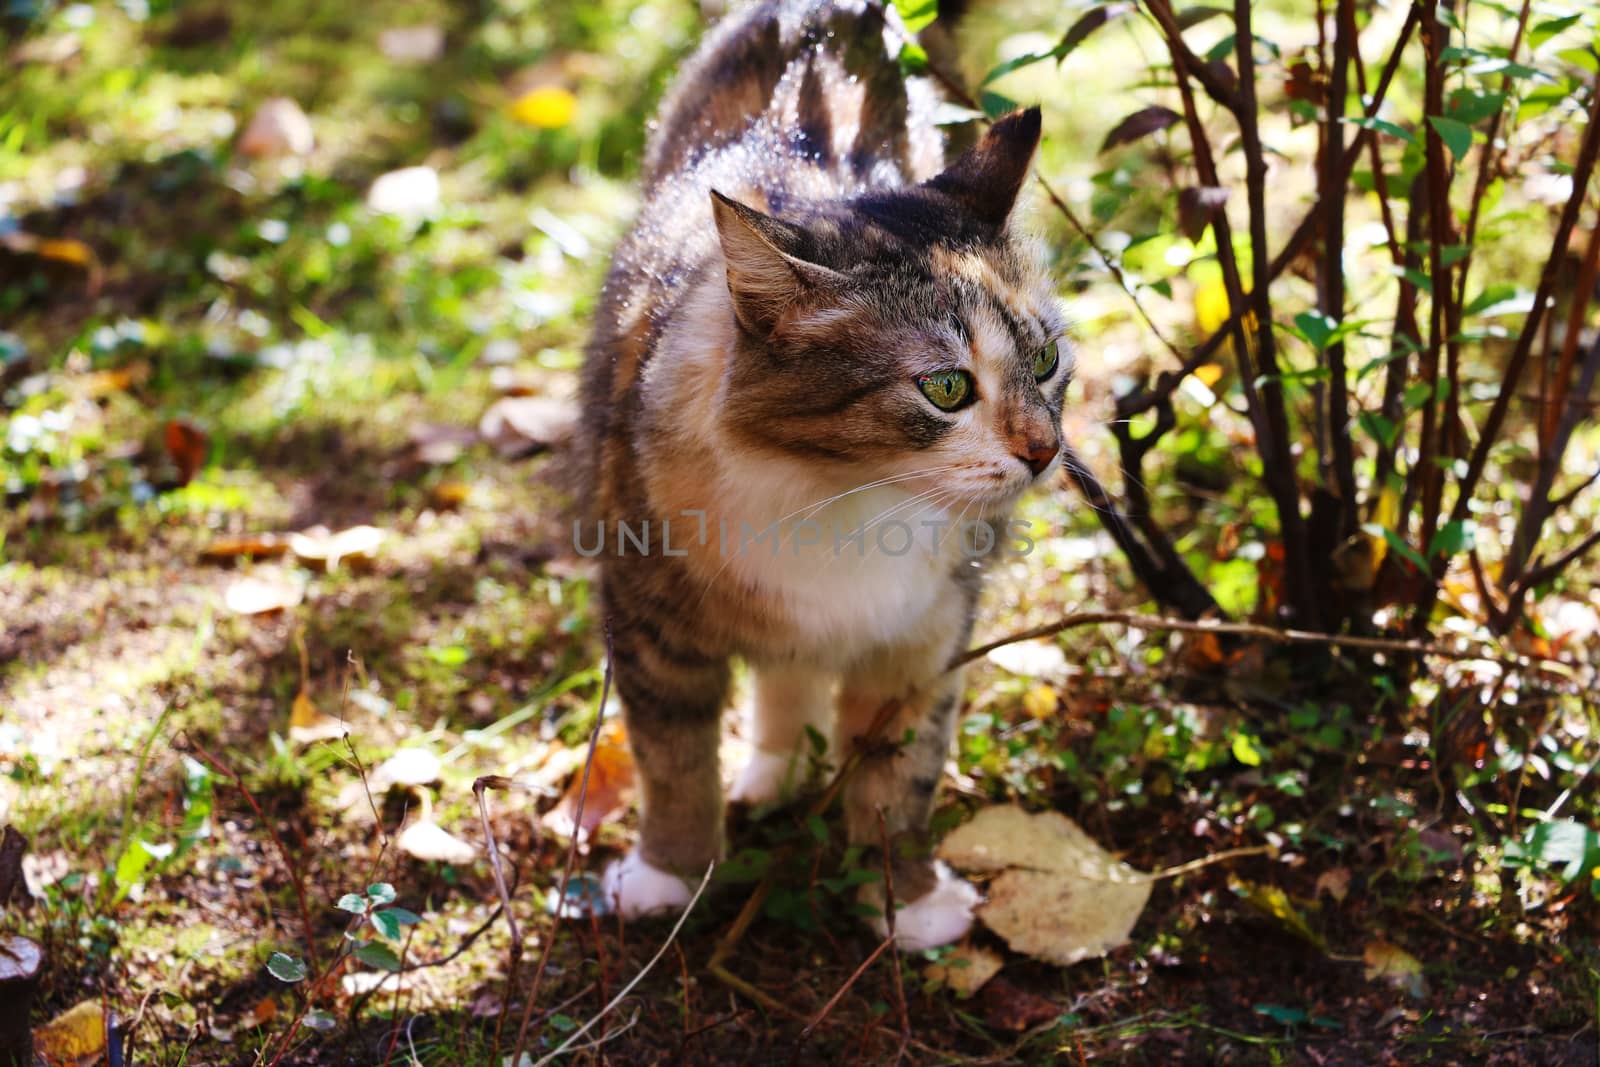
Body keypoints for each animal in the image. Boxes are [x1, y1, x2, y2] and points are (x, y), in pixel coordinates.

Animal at [579, 0, 1075, 953]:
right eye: (947, 387)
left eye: (1045, 361)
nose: (1042, 449)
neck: (846, 493)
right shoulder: (650, 620)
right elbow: (673, 763)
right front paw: (668, 877)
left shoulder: (925, 636)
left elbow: (899, 778)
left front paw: (907, 899)